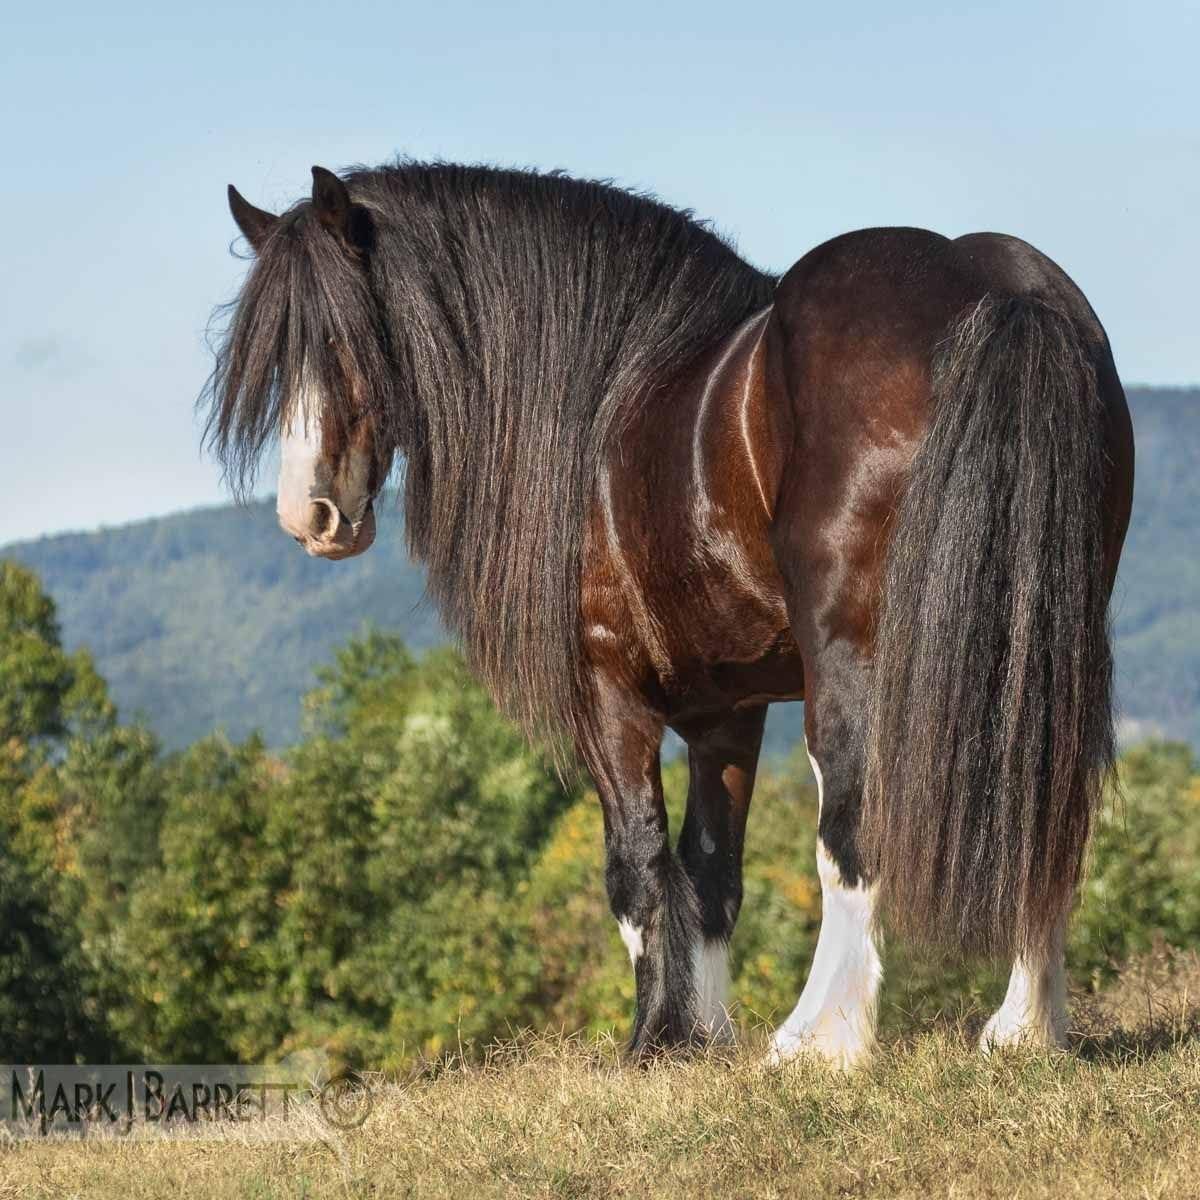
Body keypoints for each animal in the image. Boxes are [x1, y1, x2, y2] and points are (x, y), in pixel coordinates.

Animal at [206, 162, 1132, 1070]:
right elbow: (712, 869)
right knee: (1045, 799)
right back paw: (1024, 1030)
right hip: (1045, 637)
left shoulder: (608, 691)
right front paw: (703, 1035)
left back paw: (820, 1040)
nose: (310, 516)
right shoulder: (730, 708)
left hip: (856, 657)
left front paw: (653, 1040)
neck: (603, 401)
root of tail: (994, 290)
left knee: (852, 818)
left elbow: (638, 862)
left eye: (341, 335)